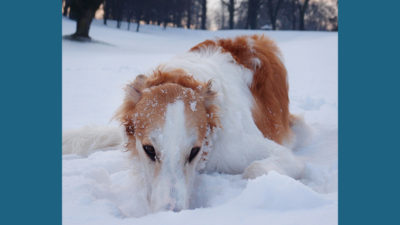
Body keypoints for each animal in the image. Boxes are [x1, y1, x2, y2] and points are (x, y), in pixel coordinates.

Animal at [64, 34, 304, 213]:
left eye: (194, 151)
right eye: (149, 149)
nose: (171, 214)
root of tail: (252, 37)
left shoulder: (265, 152)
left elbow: (255, 167)